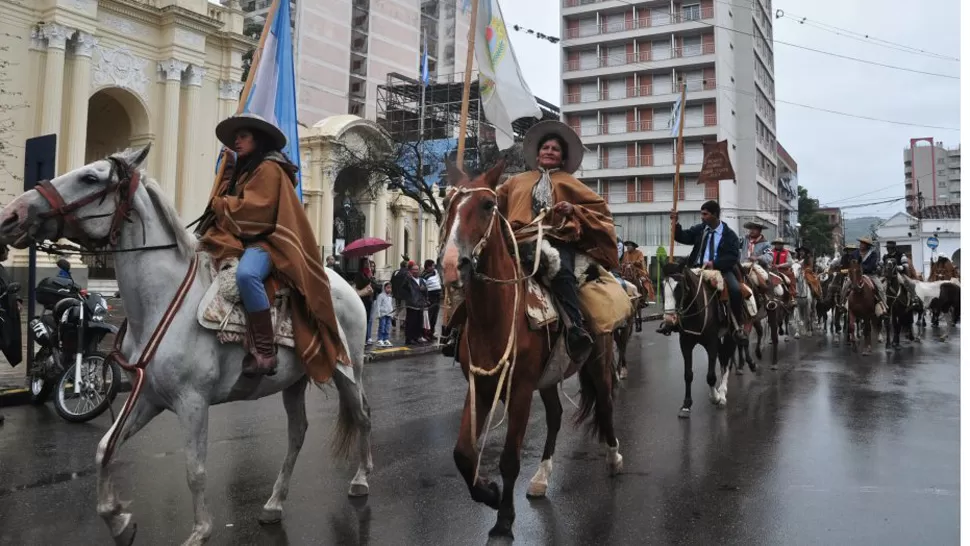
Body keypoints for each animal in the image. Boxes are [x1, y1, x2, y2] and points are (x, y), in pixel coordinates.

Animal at [0, 146, 370, 544]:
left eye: (90, 178)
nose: (12, 214)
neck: (160, 301)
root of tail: (345, 284)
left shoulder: (193, 401)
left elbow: (195, 470)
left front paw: (200, 531)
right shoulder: (148, 396)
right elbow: (104, 449)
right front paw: (119, 521)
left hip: (347, 368)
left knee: (362, 416)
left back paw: (361, 481)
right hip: (294, 381)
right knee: (297, 433)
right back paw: (273, 504)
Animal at [438, 160, 620, 536]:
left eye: (488, 205)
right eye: (448, 204)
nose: (450, 264)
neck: (494, 314)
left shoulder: (520, 388)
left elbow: (509, 459)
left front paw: (504, 519)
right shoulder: (480, 385)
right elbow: (463, 453)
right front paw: (489, 494)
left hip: (598, 361)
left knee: (606, 405)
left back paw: (614, 457)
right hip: (548, 377)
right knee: (555, 416)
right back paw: (541, 478)